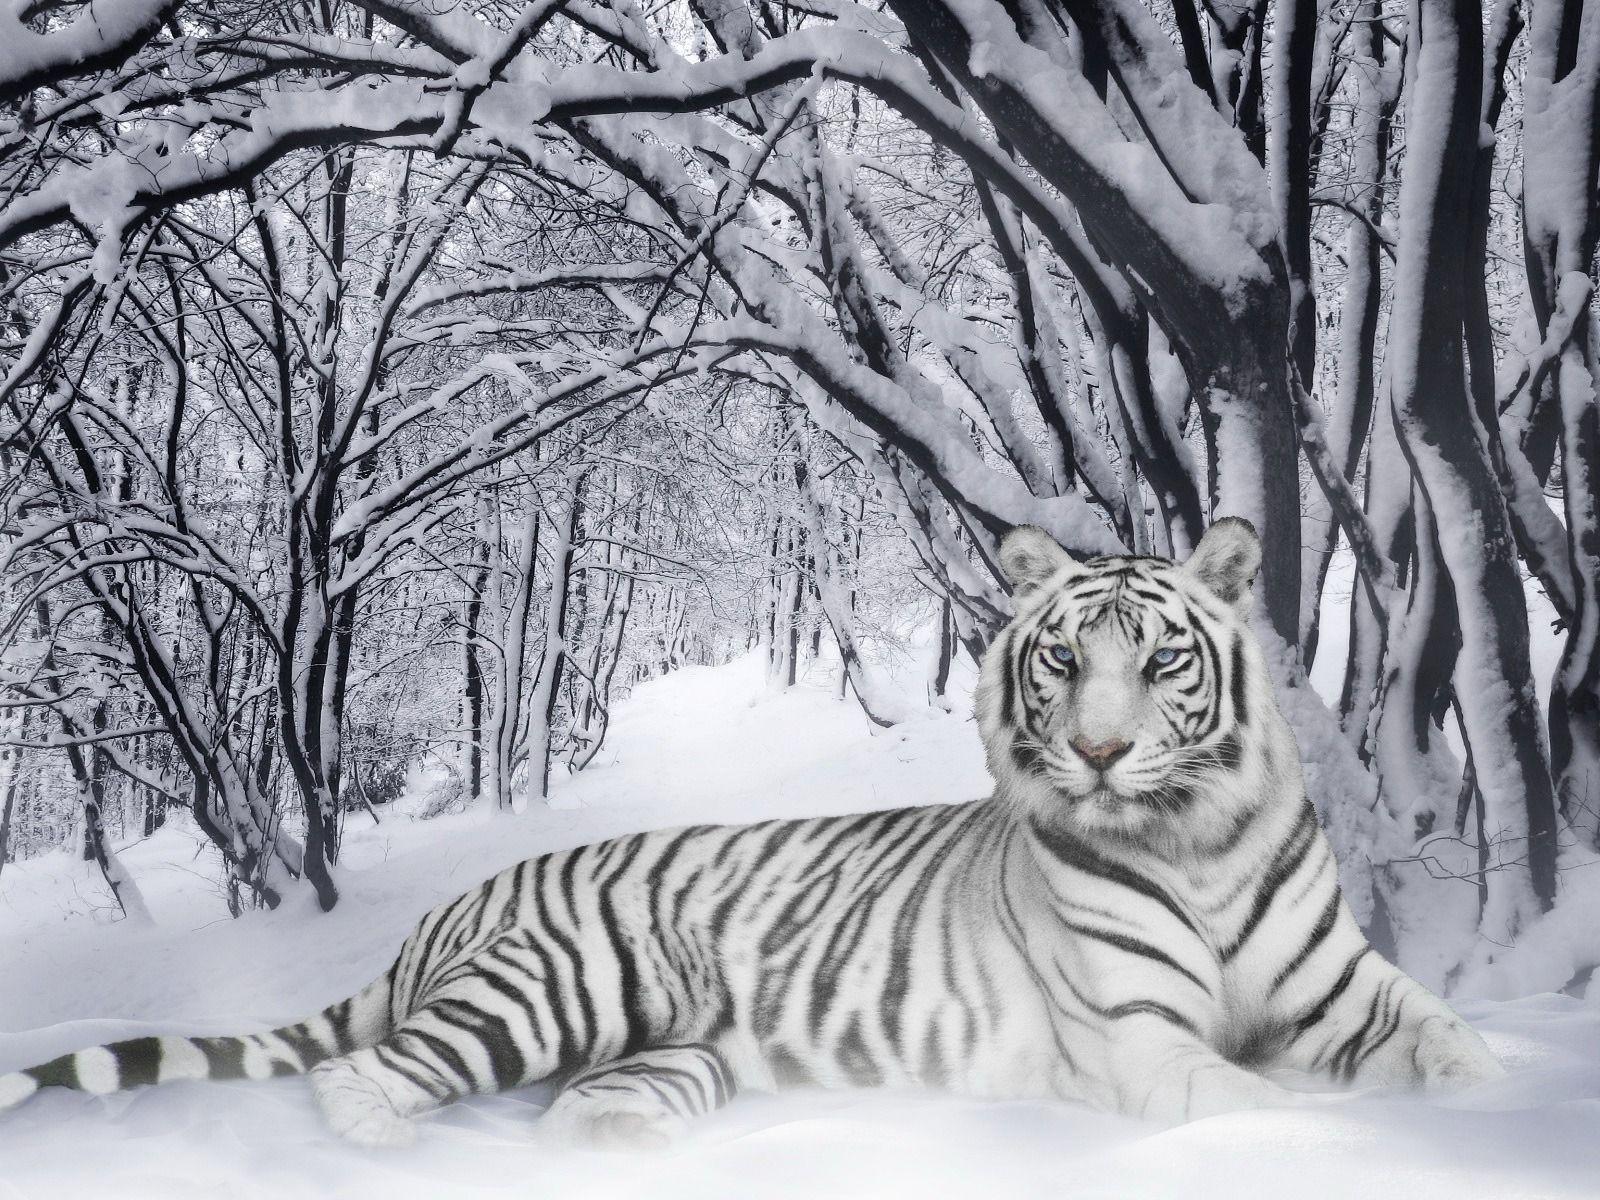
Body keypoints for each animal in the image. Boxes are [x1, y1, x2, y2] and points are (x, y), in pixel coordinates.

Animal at [0, 519, 1504, 1148]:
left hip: (675, 1052)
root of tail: (455, 904)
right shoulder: (1142, 1043)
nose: (1095, 752)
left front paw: (1496, 1113)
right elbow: (1262, 1106)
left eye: (1162, 660)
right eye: (1064, 662)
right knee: (368, 1076)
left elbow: (1455, 1048)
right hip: (555, 987)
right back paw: (385, 1148)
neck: (1195, 839)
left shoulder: (1349, 992)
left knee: (582, 1107)